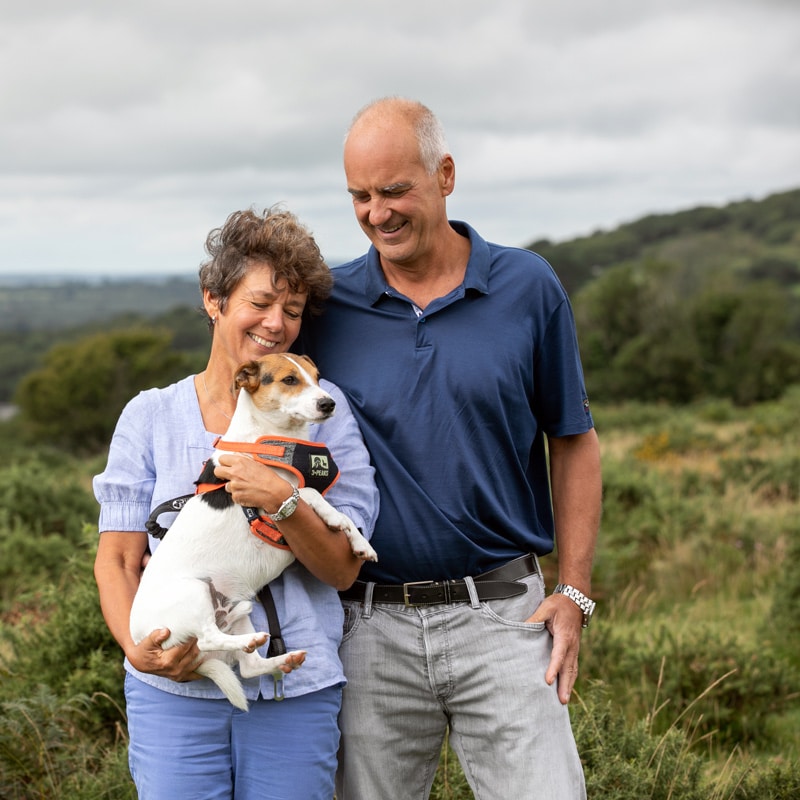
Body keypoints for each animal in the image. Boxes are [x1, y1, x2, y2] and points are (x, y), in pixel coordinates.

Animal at [130, 354, 380, 708]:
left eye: (317, 377)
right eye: (289, 380)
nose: (328, 403)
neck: (267, 441)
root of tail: (139, 636)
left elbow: (334, 510)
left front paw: (359, 542)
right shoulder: (267, 502)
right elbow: (308, 493)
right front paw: (336, 520)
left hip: (229, 604)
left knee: (247, 665)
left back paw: (276, 655)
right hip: (193, 593)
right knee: (207, 638)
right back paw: (250, 640)